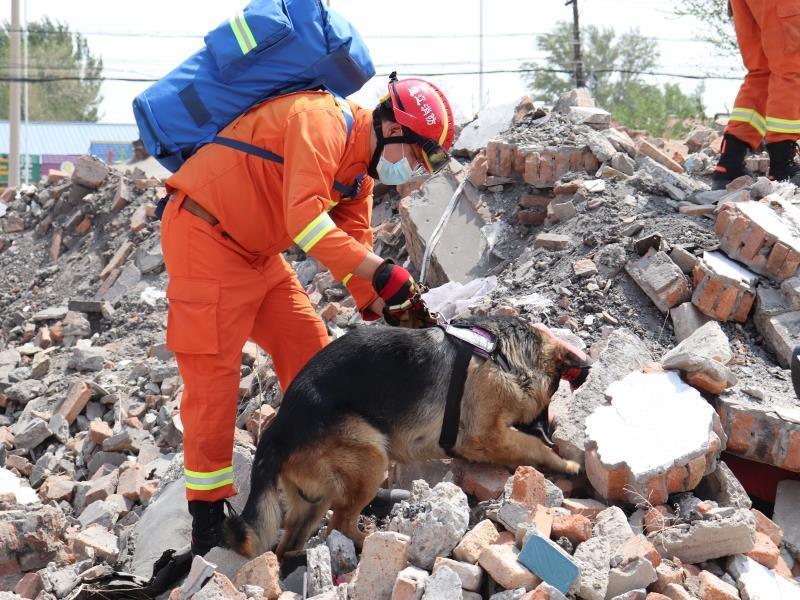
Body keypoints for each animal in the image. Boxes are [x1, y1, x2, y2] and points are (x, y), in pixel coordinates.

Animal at [222, 316, 592, 556]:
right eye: (552, 394)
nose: (551, 431)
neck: (501, 353)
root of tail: (275, 432)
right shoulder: (484, 435)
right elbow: (529, 444)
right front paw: (565, 463)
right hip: (371, 457)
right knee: (339, 523)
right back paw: (369, 543)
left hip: (314, 500)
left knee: (291, 543)